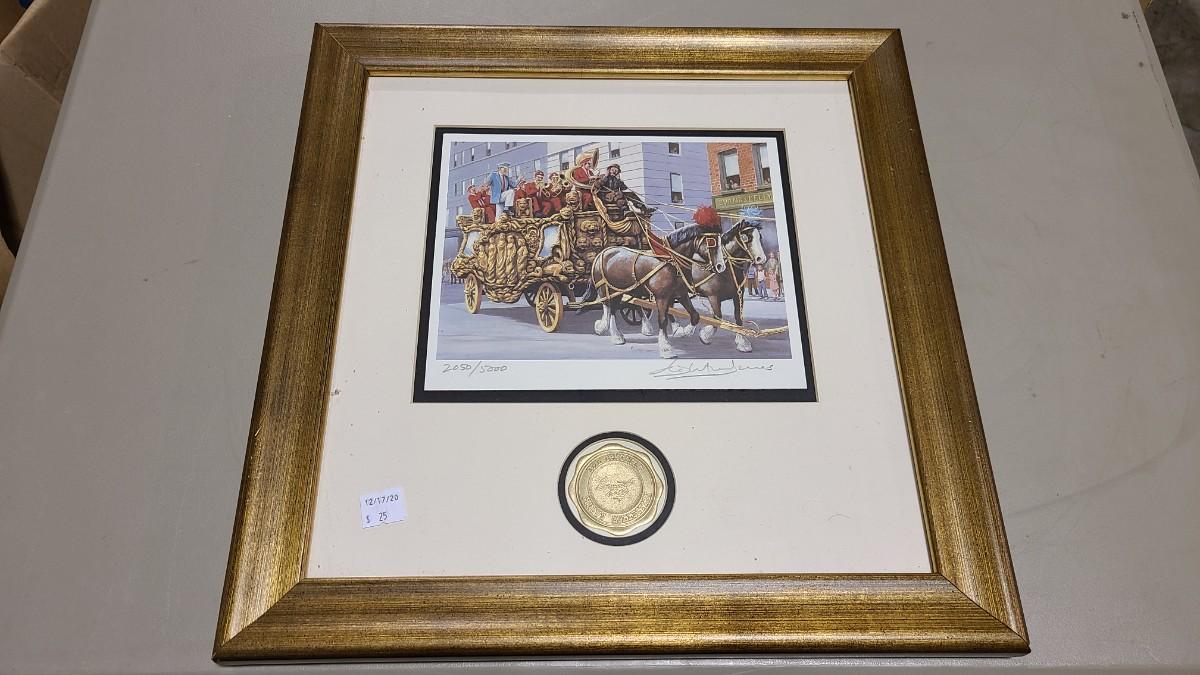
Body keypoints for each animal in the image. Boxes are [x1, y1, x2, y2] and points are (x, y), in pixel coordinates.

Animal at [589, 224, 715, 359]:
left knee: (618, 308)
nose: (719, 266)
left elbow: (694, 315)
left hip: (625, 290)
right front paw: (666, 348)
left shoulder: (680, 293)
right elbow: (663, 320)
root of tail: (602, 253)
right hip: (608, 289)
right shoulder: (662, 297)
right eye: (711, 242)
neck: (671, 261)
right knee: (608, 308)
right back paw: (609, 331)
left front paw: (684, 331)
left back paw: (622, 333)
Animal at [672, 219, 768, 352]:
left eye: (760, 237)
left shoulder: (738, 295)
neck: (726, 268)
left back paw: (676, 328)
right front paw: (705, 335)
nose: (761, 259)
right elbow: (718, 317)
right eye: (746, 238)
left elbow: (738, 317)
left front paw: (742, 342)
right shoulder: (713, 296)